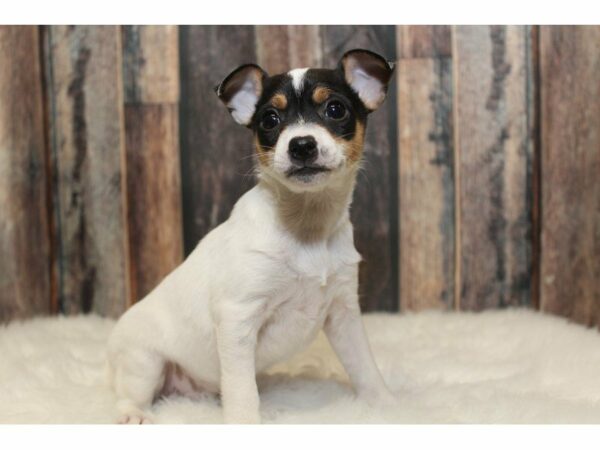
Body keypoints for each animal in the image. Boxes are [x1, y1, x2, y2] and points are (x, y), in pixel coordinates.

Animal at [106, 49, 398, 426]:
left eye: (336, 109)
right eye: (269, 119)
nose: (302, 145)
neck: (306, 226)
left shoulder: (343, 313)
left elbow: (364, 367)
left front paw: (387, 406)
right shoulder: (238, 318)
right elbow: (241, 388)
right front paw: (245, 421)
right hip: (144, 363)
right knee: (130, 393)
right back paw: (133, 415)